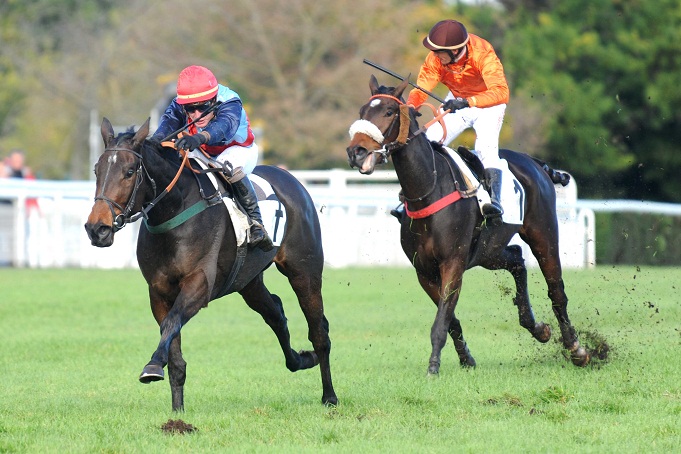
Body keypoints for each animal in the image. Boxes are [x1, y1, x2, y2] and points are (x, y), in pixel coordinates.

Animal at [85, 118, 338, 412]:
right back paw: (302, 359)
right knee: (275, 314)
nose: (97, 229)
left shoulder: (199, 284)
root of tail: (292, 180)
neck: (174, 213)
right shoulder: (158, 292)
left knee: (318, 331)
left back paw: (329, 395)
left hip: (304, 272)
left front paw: (153, 366)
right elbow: (174, 349)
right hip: (249, 282)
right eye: (97, 170)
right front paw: (177, 411)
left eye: (128, 172)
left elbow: (171, 323)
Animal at [346, 74, 588, 372]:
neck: (428, 189)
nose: (356, 151)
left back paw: (576, 348)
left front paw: (433, 367)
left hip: (542, 234)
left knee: (557, 292)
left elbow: (442, 320)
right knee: (517, 259)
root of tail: (533, 162)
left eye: (389, 112)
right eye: (362, 112)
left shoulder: (453, 262)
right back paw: (537, 328)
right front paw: (466, 358)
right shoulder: (424, 270)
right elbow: (450, 319)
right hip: (488, 250)